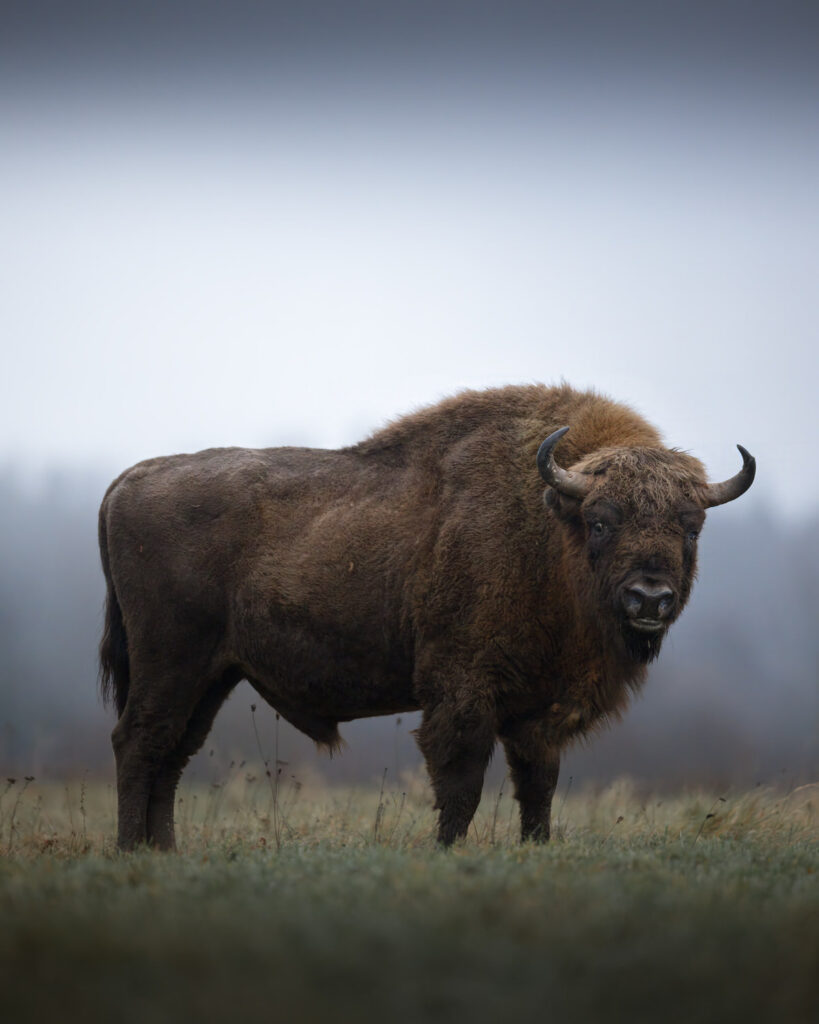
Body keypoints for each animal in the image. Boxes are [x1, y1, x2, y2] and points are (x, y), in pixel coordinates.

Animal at [99, 384, 755, 850]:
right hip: (171, 662)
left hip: (213, 675)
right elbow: (461, 782)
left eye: (690, 526)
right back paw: (132, 850)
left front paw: (536, 849)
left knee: (173, 752)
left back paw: (163, 850)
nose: (650, 598)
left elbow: (537, 786)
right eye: (600, 521)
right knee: (139, 741)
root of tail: (128, 479)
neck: (548, 525)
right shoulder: (462, 688)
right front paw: (447, 851)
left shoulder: (537, 711)